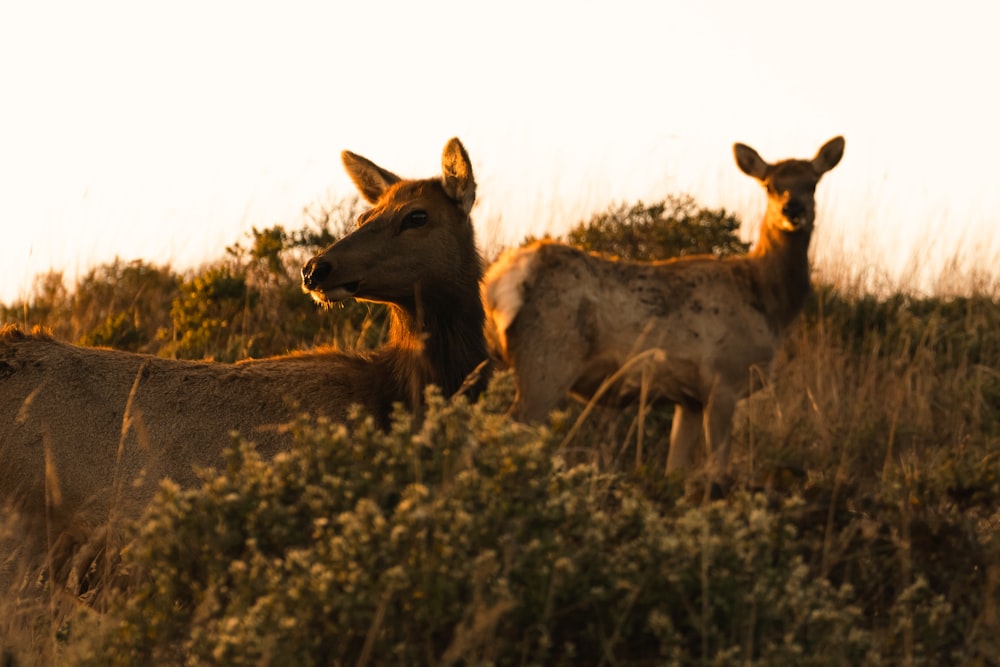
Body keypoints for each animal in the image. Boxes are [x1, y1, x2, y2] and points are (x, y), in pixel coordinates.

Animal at [484, 134, 844, 486]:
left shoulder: (690, 398)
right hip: (549, 358)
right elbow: (718, 474)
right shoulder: (723, 378)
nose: (792, 208)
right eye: (769, 184)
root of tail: (504, 277)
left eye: (813, 183)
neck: (767, 301)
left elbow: (676, 470)